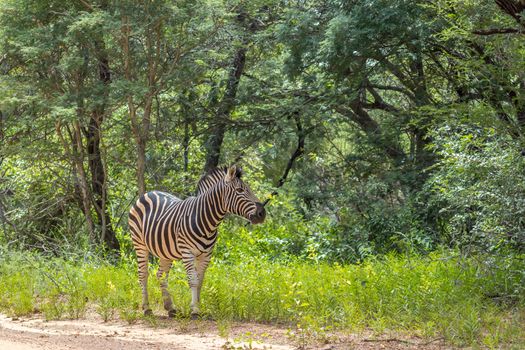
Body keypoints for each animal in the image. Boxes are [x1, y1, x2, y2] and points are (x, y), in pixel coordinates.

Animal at [127, 165, 266, 318]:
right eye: (240, 190)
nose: (262, 213)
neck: (206, 220)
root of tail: (148, 193)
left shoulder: (206, 255)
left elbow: (200, 281)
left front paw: (199, 307)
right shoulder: (187, 252)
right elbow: (193, 280)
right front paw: (194, 310)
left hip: (165, 251)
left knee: (161, 275)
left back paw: (170, 307)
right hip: (140, 244)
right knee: (143, 274)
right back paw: (147, 308)